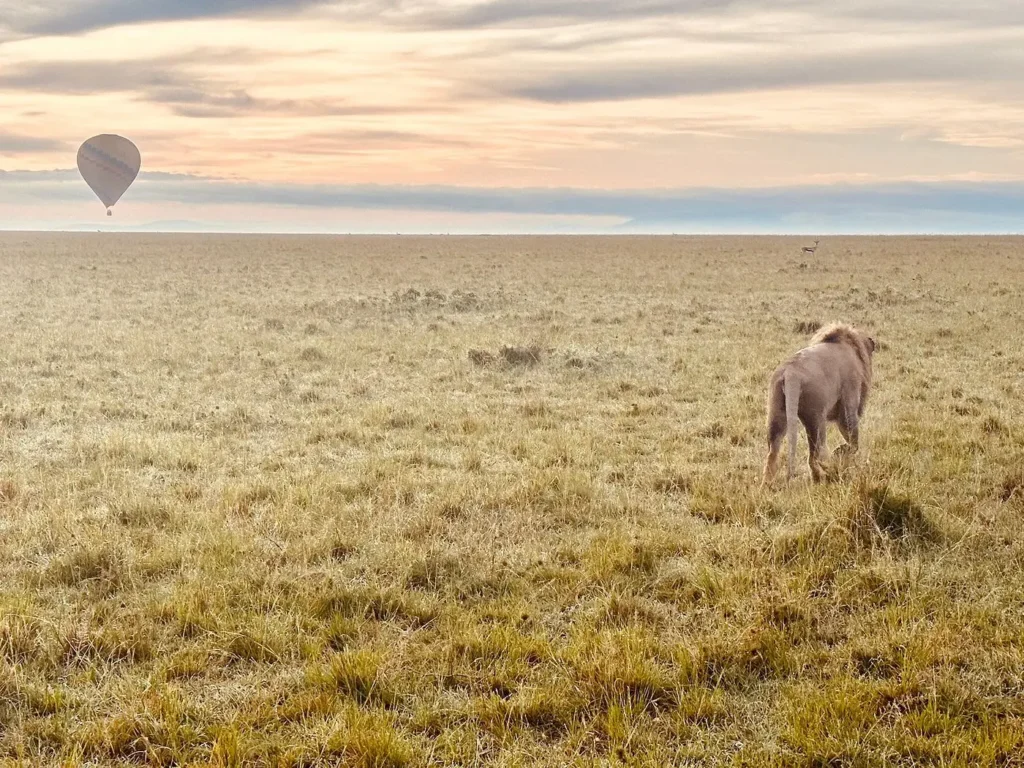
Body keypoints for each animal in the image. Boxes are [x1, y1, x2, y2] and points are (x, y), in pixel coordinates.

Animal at [762, 322, 876, 484]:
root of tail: (791, 373)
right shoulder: (848, 403)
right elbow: (853, 441)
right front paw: (839, 452)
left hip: (777, 414)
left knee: (772, 453)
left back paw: (767, 484)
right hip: (816, 418)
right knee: (814, 455)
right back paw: (824, 474)